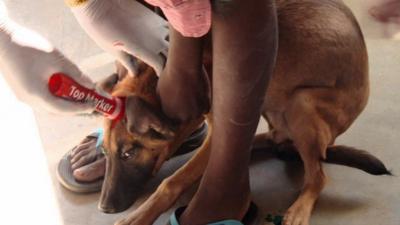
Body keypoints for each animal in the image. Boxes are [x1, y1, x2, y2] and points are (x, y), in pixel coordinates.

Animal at [95, 0, 390, 224]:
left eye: (129, 153)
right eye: (105, 151)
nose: (104, 208)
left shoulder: (217, 135)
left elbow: (171, 181)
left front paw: (139, 216)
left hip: (301, 103)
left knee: (318, 177)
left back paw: (299, 208)